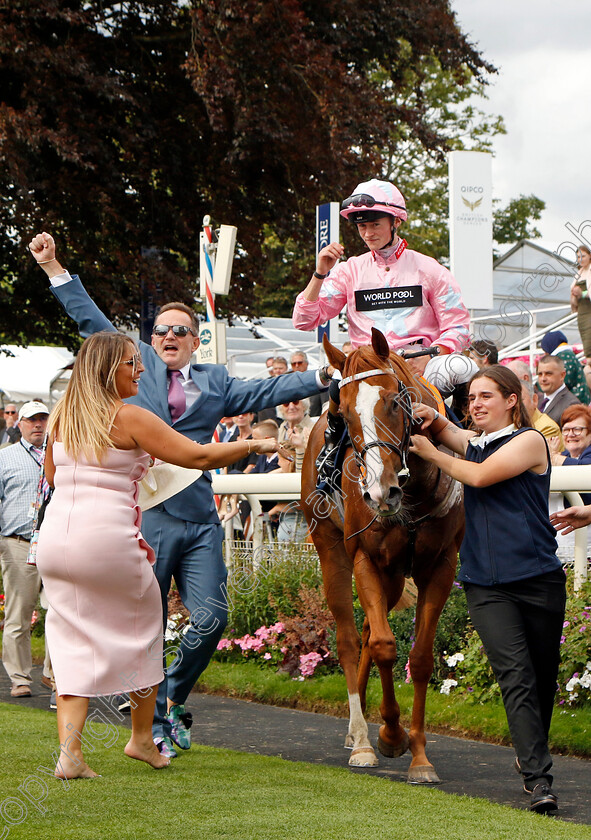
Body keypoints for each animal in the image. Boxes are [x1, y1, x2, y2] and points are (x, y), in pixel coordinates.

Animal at [302, 326, 464, 780]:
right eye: (344, 413)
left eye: (394, 401)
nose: (379, 492)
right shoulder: (365, 559)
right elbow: (383, 646)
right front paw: (390, 735)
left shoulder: (440, 565)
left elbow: (420, 657)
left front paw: (420, 756)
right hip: (332, 553)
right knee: (350, 638)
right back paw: (359, 739)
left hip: (393, 577)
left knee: (368, 629)